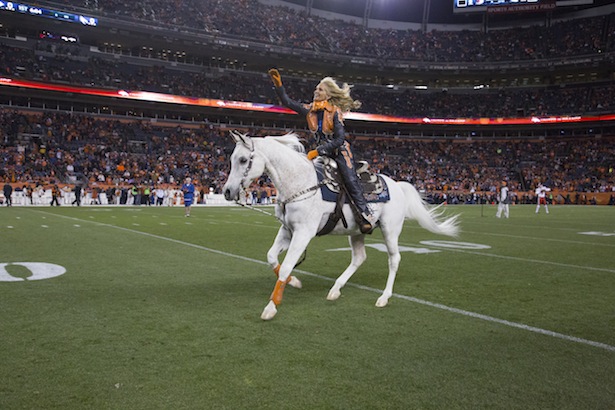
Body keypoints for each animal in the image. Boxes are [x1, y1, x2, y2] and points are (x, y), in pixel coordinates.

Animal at [224, 131, 460, 320]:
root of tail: (397, 185)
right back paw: (335, 289)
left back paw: (384, 297)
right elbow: (272, 257)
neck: (301, 184)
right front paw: (295, 282)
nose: (227, 192)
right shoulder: (287, 230)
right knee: (359, 257)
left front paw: (271, 307)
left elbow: (286, 266)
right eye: (232, 159)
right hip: (357, 231)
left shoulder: (303, 233)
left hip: (390, 230)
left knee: (394, 259)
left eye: (243, 160)